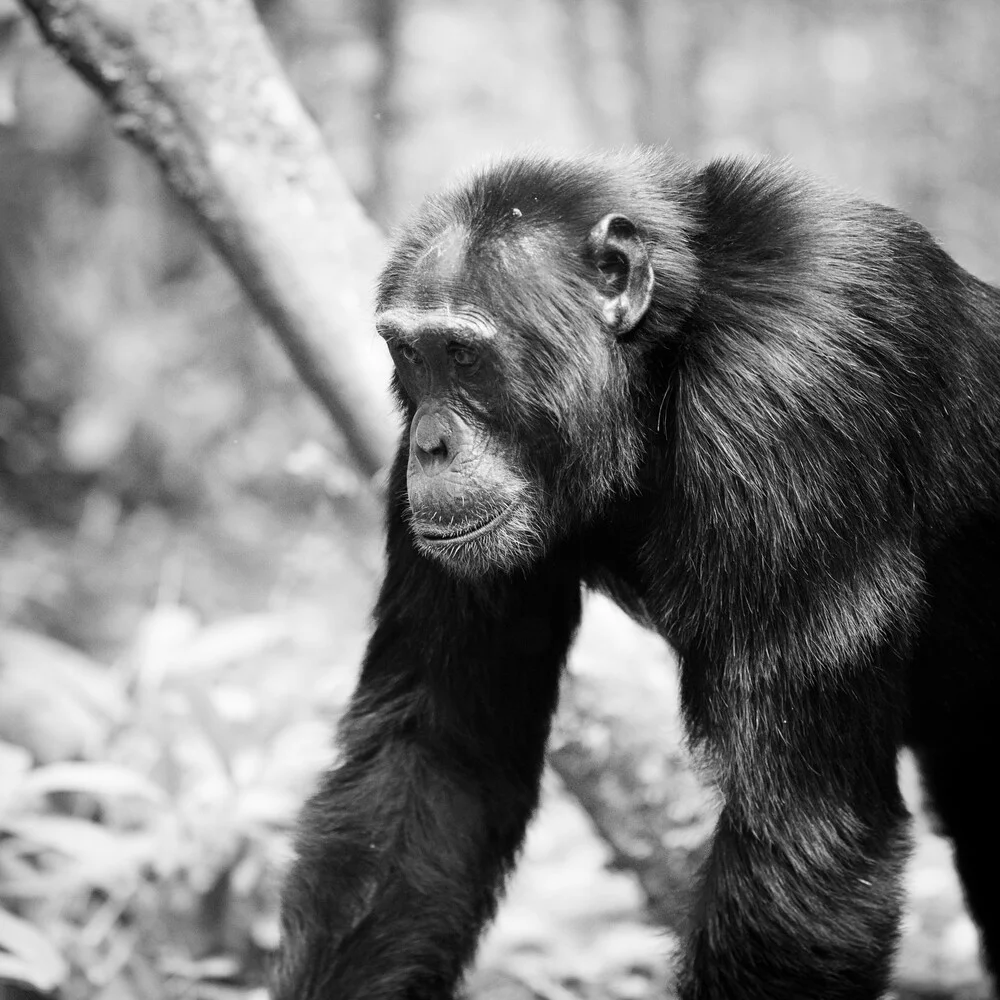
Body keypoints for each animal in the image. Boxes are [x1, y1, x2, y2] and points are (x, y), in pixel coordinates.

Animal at [272, 150, 1000, 1000]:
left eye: (464, 355)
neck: (662, 360)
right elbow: (432, 766)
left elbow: (801, 840)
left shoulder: (795, 393)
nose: (431, 443)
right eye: (410, 355)